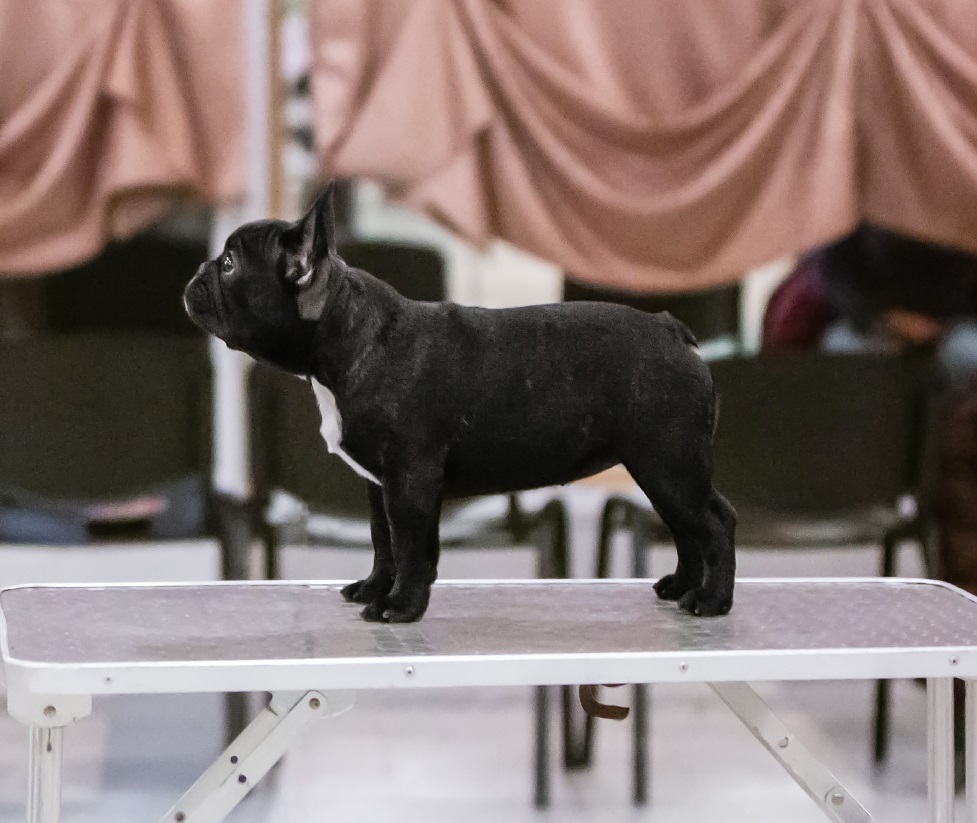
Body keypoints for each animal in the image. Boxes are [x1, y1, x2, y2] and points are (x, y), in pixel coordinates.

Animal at [184, 182, 737, 623]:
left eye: (229, 265)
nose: (197, 272)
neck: (347, 335)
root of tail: (671, 330)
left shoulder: (410, 481)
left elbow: (410, 547)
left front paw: (400, 607)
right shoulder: (378, 486)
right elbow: (382, 541)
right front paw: (374, 589)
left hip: (667, 465)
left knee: (712, 523)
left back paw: (712, 601)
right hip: (661, 472)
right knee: (689, 526)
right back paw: (683, 586)